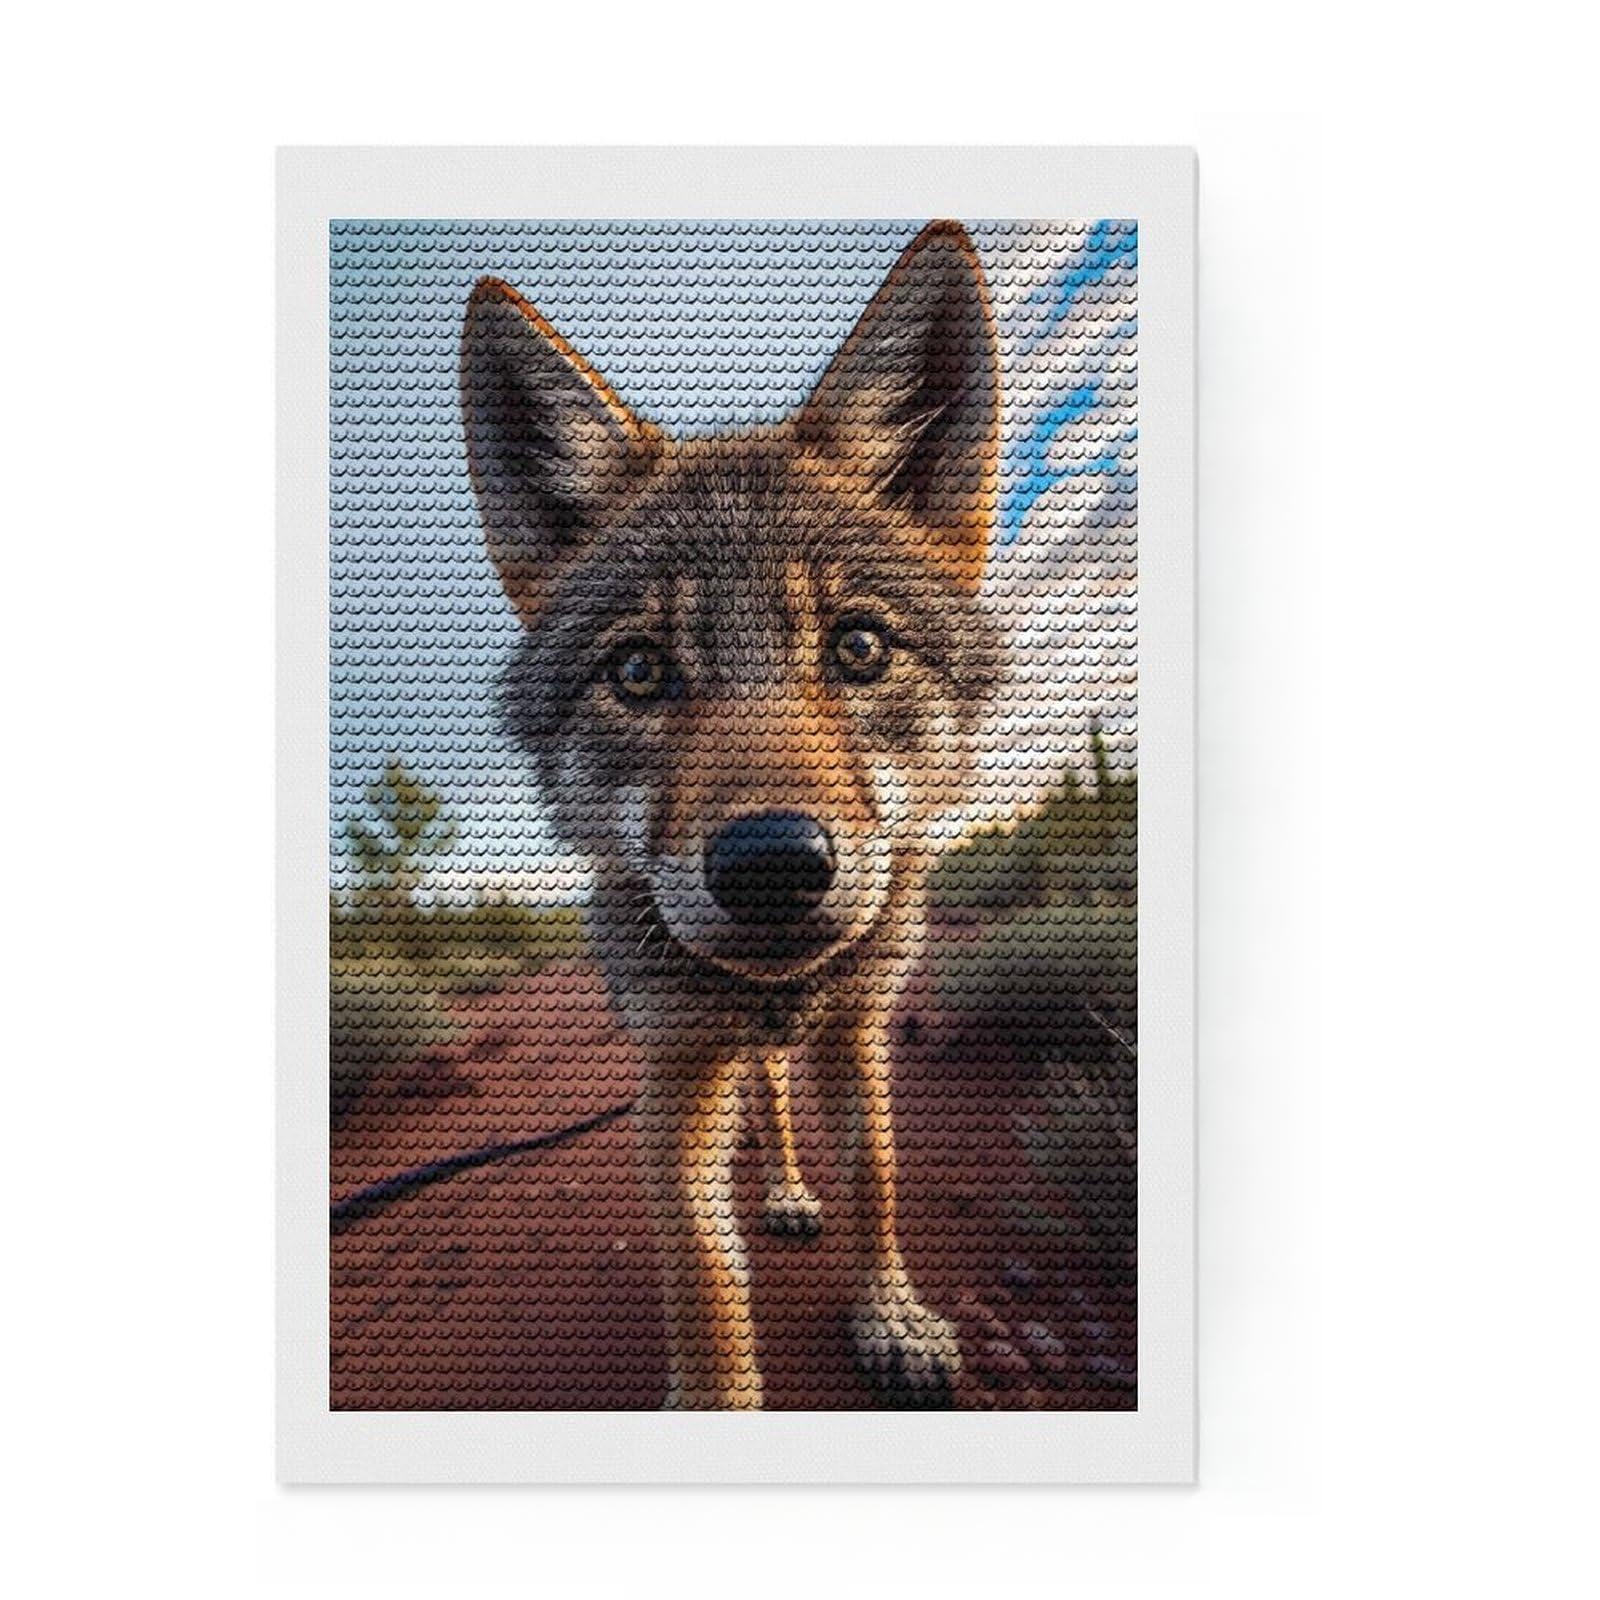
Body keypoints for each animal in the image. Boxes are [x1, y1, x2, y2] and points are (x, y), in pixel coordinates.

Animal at [460, 221, 1005, 1409]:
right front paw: (714, 1394)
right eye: (637, 669)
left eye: (858, 647)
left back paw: (794, 1191)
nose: (770, 864)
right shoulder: (674, 1074)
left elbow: (877, 1180)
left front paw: (890, 1314)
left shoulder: (855, 1034)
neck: (773, 996)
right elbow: (701, 1266)